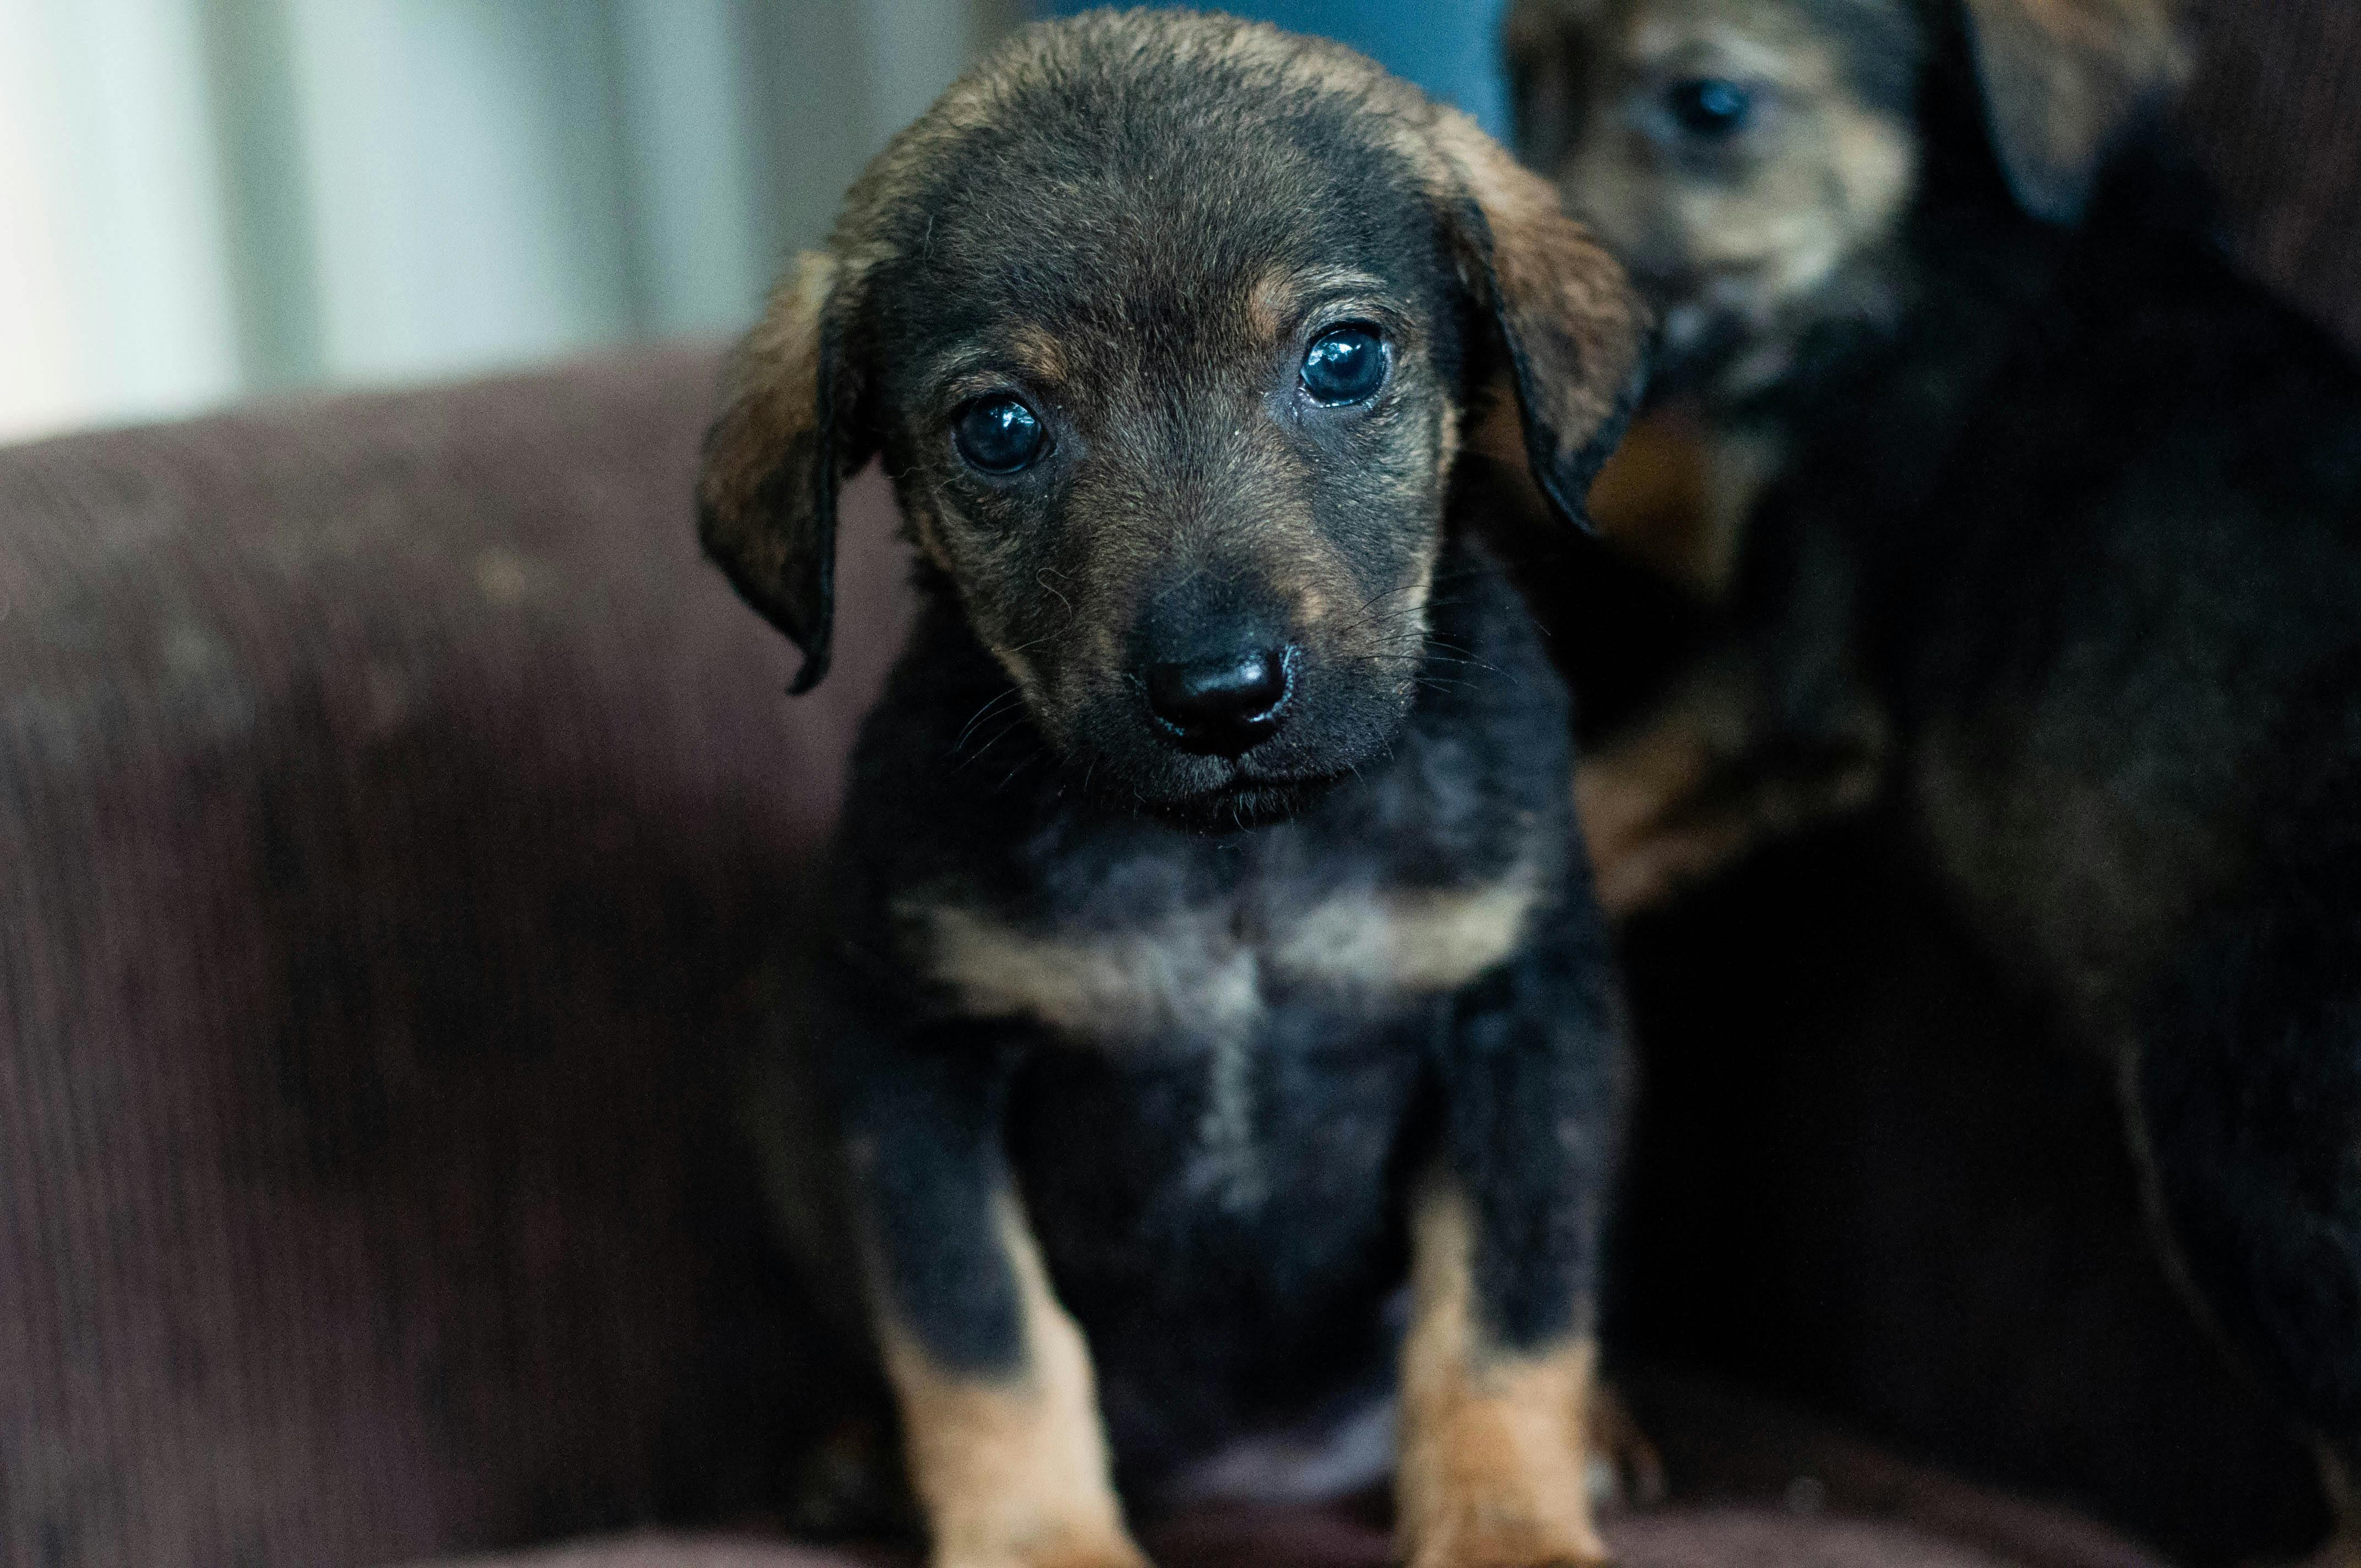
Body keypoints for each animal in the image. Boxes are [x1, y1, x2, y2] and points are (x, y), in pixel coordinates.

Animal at [1520, 0, 2361, 1558]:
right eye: (1527, 76)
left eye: (1710, 104)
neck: (1949, 228)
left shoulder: (1785, 665)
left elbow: (1601, 799)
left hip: (2236, 1138)